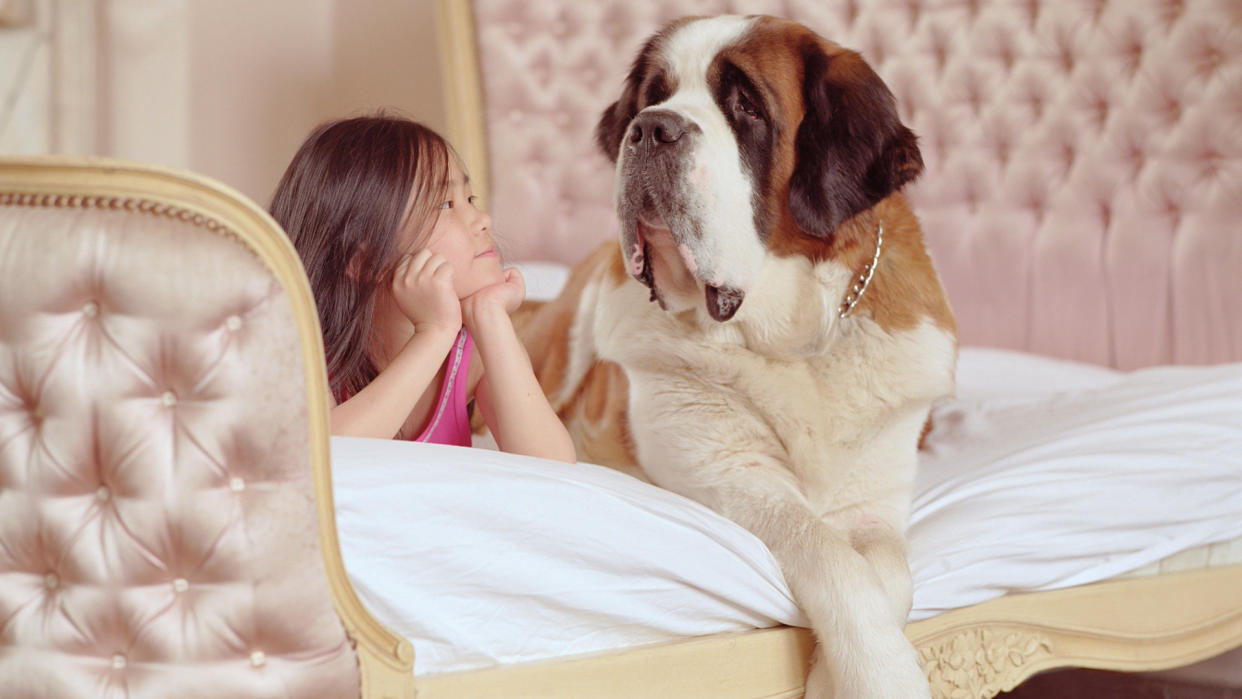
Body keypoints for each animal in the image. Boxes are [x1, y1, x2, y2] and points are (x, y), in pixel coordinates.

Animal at [511, 12, 948, 699]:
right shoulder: (733, 475)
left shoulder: (874, 503)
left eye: (745, 106)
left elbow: (888, 573)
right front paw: (881, 677)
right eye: (653, 96)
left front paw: (832, 674)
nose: (650, 128)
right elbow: (830, 557)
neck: (793, 339)